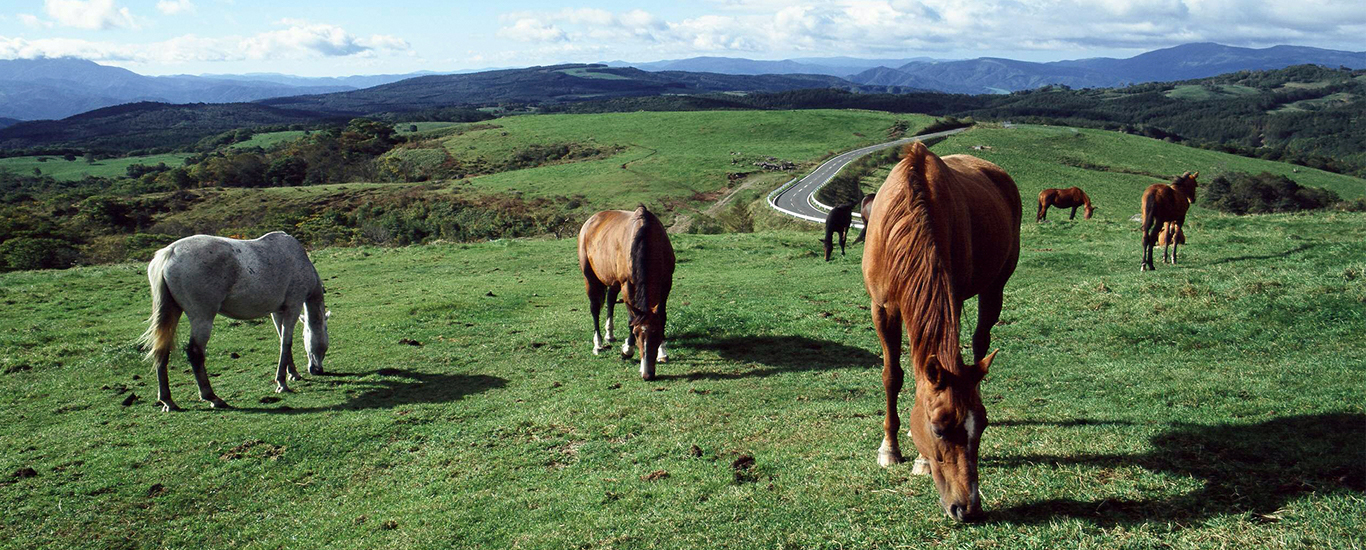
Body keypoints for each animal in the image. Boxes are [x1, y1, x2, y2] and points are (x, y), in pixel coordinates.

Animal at [137, 230, 330, 412]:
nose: (318, 370)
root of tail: (170, 252)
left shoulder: (277, 312)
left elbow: (282, 339)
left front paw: (293, 374)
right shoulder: (293, 307)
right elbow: (286, 343)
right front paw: (282, 383)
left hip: (171, 312)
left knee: (162, 351)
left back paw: (168, 401)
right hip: (203, 317)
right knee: (195, 352)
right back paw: (213, 398)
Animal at [579, 204, 674, 382]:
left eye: (658, 333)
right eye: (636, 334)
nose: (647, 374)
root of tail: (591, 220)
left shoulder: (666, 283)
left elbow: (662, 315)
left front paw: (662, 352)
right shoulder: (627, 285)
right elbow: (632, 318)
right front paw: (627, 349)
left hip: (613, 280)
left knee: (610, 301)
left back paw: (609, 334)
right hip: (590, 277)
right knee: (594, 308)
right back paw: (598, 344)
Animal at [857, 141, 1021, 521]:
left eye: (981, 426)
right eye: (938, 429)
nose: (968, 506)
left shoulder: (953, 298)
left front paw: (919, 459)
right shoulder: (881, 309)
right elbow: (892, 375)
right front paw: (889, 448)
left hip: (995, 287)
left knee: (980, 341)